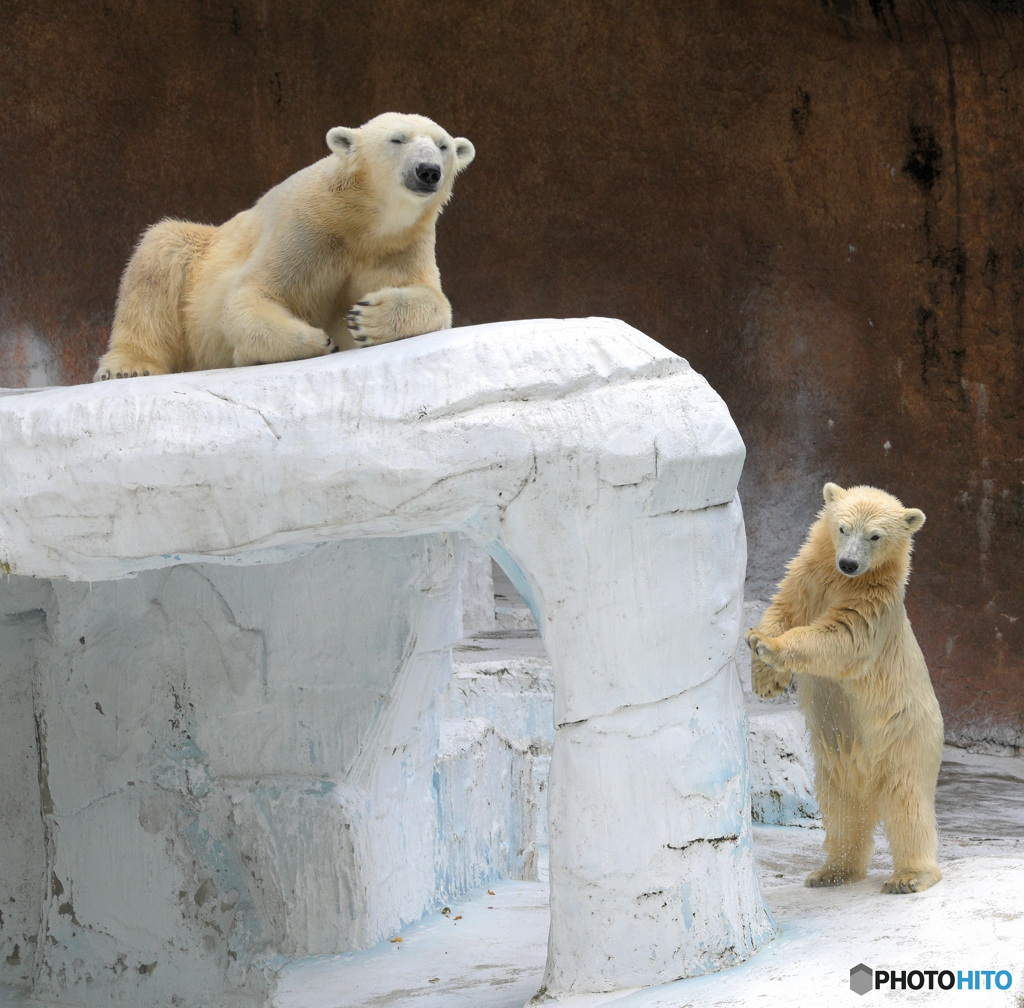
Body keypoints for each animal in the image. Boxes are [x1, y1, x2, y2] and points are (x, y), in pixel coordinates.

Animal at [94, 110, 473, 376]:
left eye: (443, 146)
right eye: (397, 139)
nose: (428, 170)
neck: (363, 221)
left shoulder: (399, 246)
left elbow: (434, 299)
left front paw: (366, 318)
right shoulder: (306, 230)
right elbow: (251, 295)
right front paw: (317, 339)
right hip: (198, 255)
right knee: (160, 254)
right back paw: (129, 366)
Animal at [745, 483, 942, 893]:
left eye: (875, 535)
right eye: (842, 527)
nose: (849, 563)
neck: (845, 581)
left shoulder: (873, 605)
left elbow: (840, 637)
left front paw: (772, 649)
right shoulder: (810, 576)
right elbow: (783, 608)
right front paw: (764, 672)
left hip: (906, 739)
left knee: (907, 804)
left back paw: (909, 877)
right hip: (837, 761)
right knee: (842, 809)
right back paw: (833, 871)